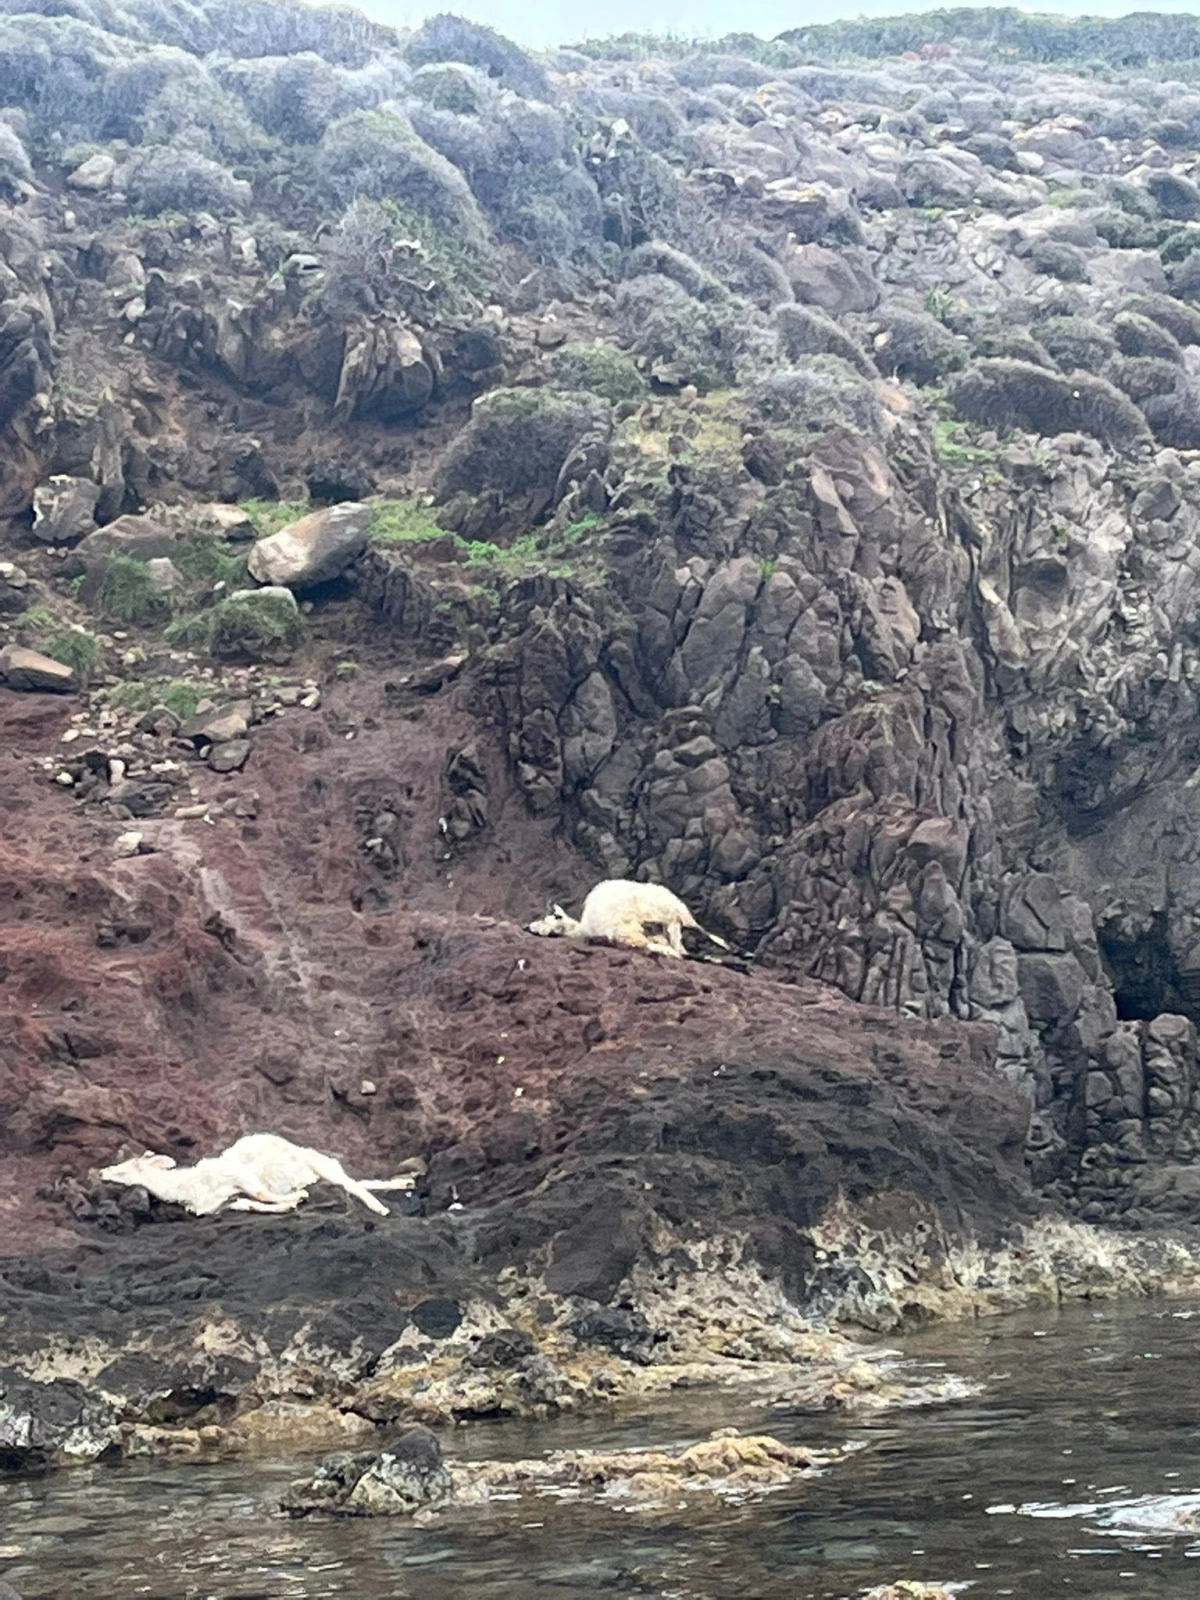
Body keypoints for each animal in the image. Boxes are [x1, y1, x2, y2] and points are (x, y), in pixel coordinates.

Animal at [97, 1132, 419, 1216]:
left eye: (123, 1168)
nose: (101, 1173)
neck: (186, 1186)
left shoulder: (241, 1177)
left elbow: (262, 1193)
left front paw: (298, 1196)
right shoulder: (224, 1203)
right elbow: (248, 1204)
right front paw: (294, 1202)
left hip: (321, 1165)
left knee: (352, 1185)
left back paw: (382, 1209)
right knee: (357, 1181)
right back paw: (406, 1182)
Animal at [528, 883, 732, 953]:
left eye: (556, 916)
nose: (533, 928)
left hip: (678, 914)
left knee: (700, 931)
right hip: (672, 923)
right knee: (679, 945)